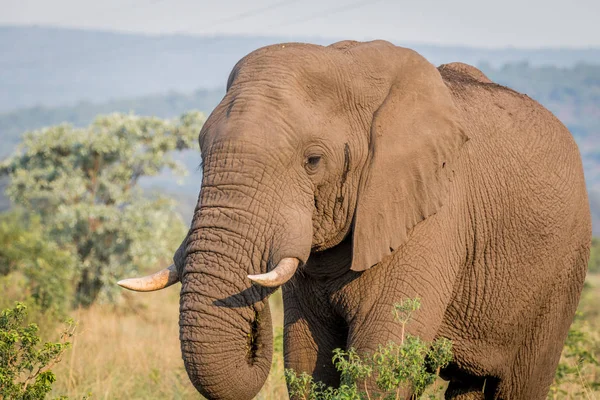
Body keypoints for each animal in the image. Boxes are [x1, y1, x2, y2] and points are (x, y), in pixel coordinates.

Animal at [118, 38, 592, 400]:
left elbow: (378, 361)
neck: (350, 64)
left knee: (520, 383)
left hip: (564, 270)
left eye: (313, 161)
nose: (254, 324)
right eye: (201, 155)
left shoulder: (436, 217)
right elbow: (306, 360)